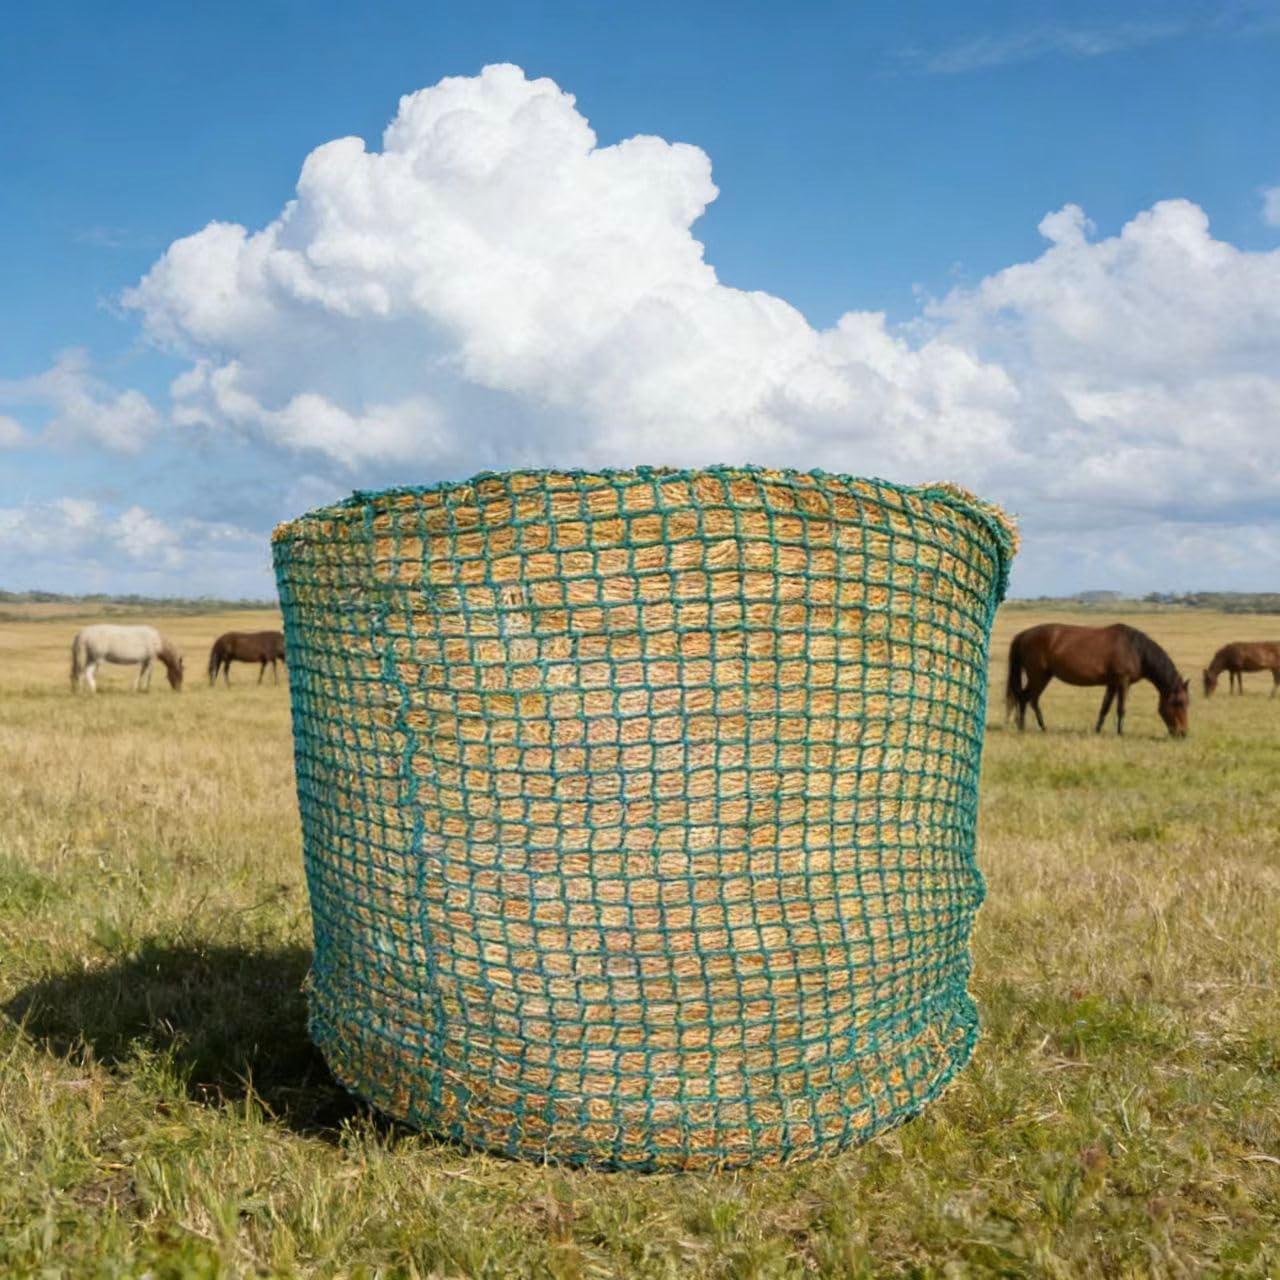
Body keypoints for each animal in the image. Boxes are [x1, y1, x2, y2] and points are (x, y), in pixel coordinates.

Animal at [1005, 622, 1189, 737]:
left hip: (1043, 676)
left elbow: (1105, 708)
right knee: (1026, 697)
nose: (1183, 734)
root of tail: (1023, 635)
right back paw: (1025, 727)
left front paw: (1098, 730)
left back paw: (1037, 727)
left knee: (1030, 699)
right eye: (1178, 703)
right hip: (1038, 675)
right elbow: (1121, 709)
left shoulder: (1112, 684)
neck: (1135, 650)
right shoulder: (1123, 682)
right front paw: (1120, 733)